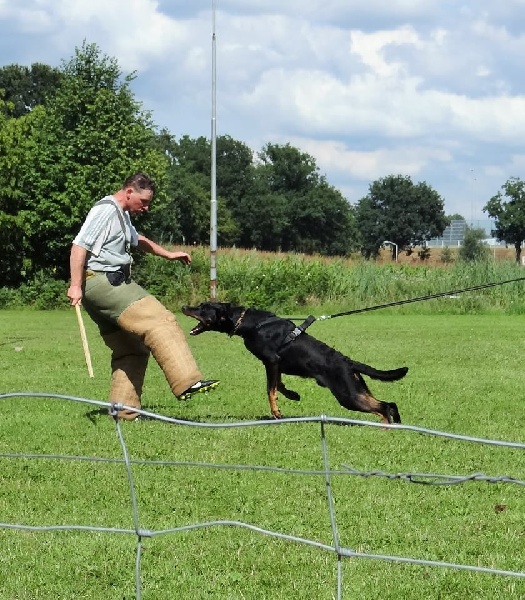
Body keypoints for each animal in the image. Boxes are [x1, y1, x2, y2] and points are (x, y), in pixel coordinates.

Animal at [182, 302, 408, 424]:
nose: (184, 306)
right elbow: (279, 385)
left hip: (347, 394)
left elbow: (270, 389)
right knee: (390, 404)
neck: (249, 324)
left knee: (384, 406)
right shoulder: (276, 365)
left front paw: (276, 413)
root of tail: (348, 361)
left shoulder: (271, 361)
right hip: (356, 389)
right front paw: (293, 395)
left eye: (203, 308)